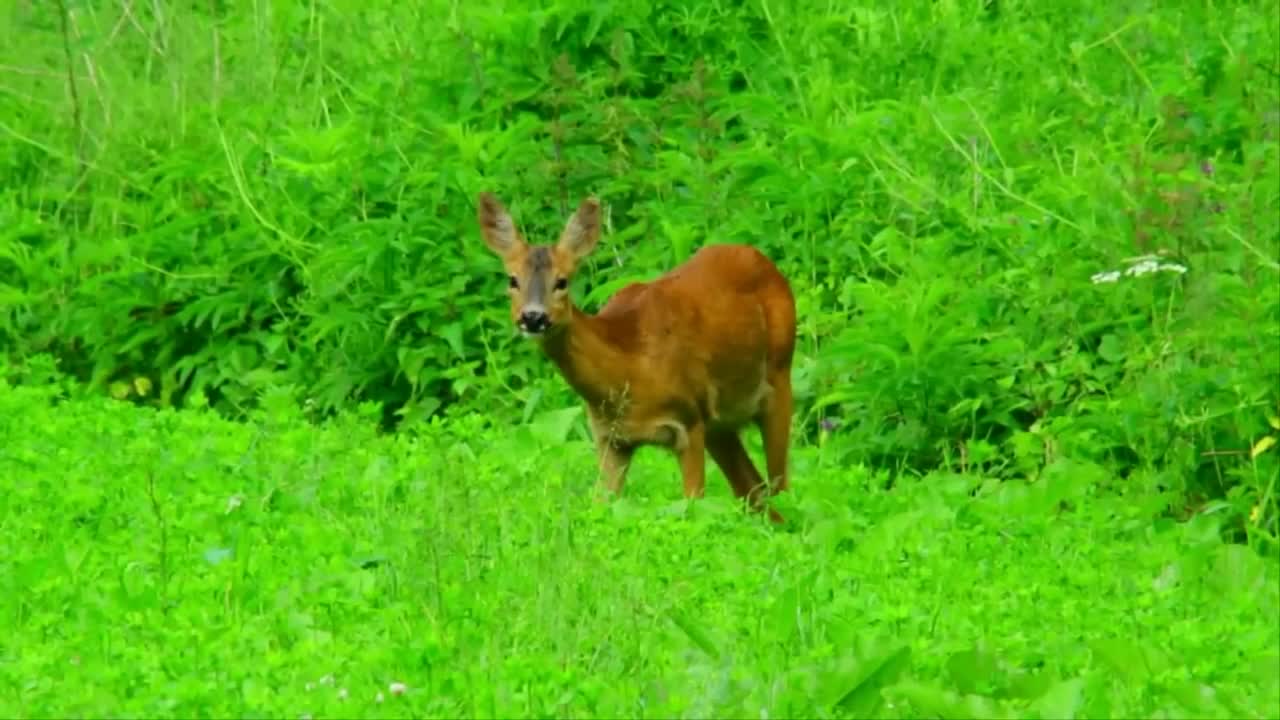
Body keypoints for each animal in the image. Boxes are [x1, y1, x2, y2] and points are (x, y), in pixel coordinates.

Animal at [478, 192, 793, 520]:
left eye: (562, 281)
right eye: (512, 280)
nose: (533, 317)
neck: (629, 369)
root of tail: (764, 261)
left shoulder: (688, 422)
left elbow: (693, 505)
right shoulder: (611, 438)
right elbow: (600, 507)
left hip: (779, 374)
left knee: (779, 485)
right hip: (720, 423)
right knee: (753, 488)